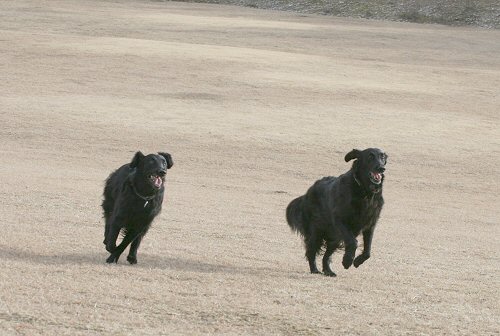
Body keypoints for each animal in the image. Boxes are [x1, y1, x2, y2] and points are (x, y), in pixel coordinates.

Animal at [286, 148, 386, 276]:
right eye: (370, 156)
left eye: (382, 157)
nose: (381, 168)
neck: (365, 192)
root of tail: (308, 192)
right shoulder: (340, 220)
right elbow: (353, 242)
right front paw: (347, 260)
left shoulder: (371, 224)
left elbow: (368, 251)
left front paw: (357, 261)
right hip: (317, 231)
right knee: (311, 250)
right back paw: (314, 269)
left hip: (334, 238)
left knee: (326, 256)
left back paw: (328, 271)